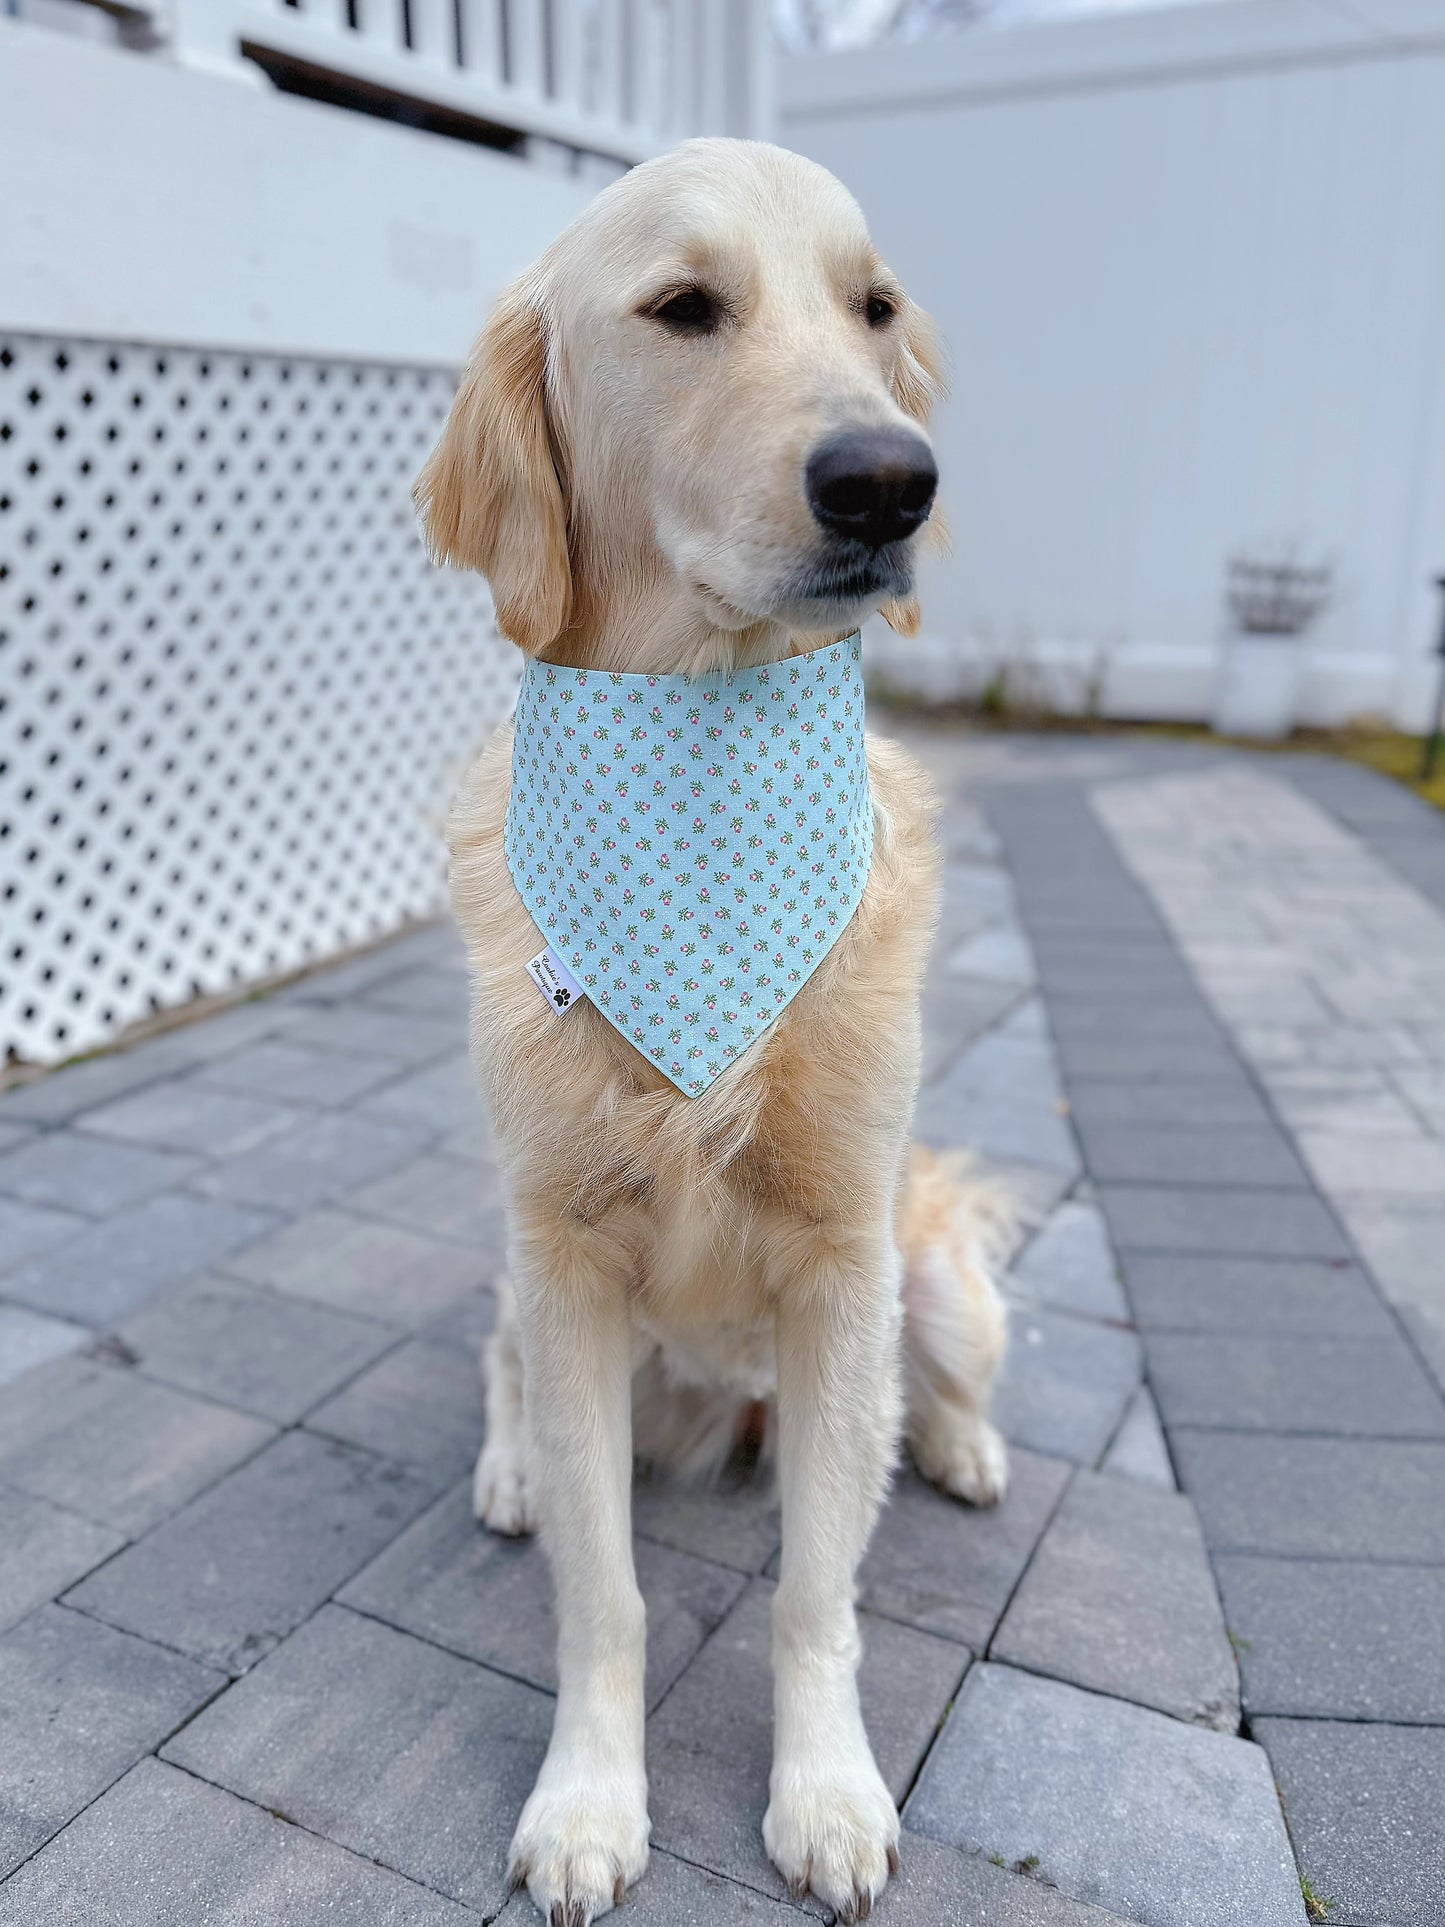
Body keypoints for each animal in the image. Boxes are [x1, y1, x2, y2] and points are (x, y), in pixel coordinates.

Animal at [416, 139, 1009, 1927]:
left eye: (873, 308)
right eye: (684, 307)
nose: (893, 482)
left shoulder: (841, 1258)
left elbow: (818, 1591)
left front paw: (827, 1794)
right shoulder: (563, 1251)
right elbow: (601, 1596)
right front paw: (587, 1801)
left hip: (932, 1272)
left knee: (940, 1380)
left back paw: (961, 1445)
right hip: (527, 1279)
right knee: (500, 1369)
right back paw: (513, 1472)